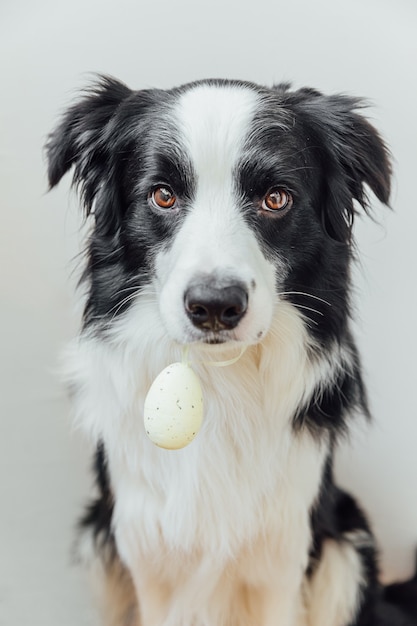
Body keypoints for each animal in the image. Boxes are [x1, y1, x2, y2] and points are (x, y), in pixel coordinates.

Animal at [46, 77, 416, 624]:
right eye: (162, 195)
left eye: (276, 198)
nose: (215, 306)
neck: (217, 378)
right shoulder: (148, 556)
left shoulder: (281, 558)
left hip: (344, 550)